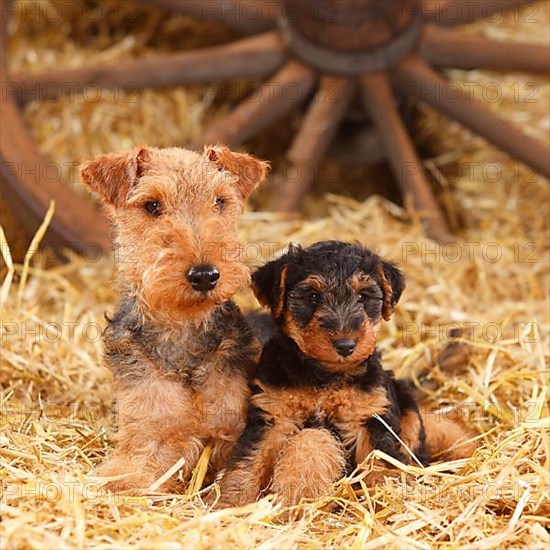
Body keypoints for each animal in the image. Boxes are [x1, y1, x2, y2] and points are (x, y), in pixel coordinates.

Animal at [219, 244, 474, 512]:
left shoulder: (370, 417)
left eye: (363, 296)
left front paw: (384, 501)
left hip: (407, 410)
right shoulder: (273, 415)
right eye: (312, 296)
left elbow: (379, 465)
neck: (324, 376)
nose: (345, 345)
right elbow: (248, 462)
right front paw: (231, 503)